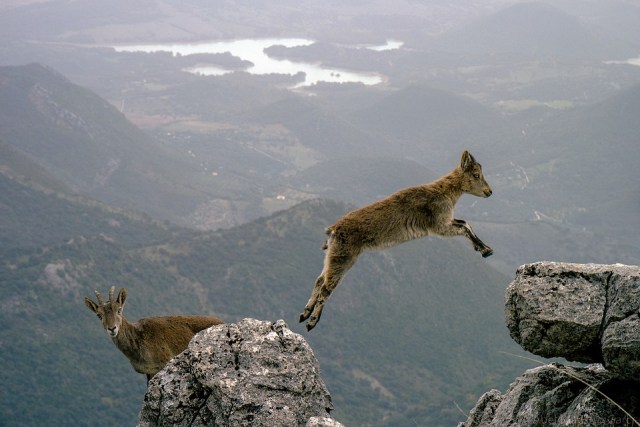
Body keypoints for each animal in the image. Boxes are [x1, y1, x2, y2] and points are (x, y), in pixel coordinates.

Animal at [84, 286, 224, 382]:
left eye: (119, 310)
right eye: (99, 315)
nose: (112, 328)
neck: (138, 338)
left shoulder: (163, 363)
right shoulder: (149, 371)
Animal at [299, 150, 493, 331]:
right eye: (476, 174)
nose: (489, 192)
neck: (445, 191)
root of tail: (333, 230)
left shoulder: (446, 222)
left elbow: (465, 223)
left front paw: (485, 249)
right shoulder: (439, 226)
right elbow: (463, 227)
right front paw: (485, 250)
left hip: (333, 255)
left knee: (319, 280)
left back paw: (304, 313)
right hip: (344, 257)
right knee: (326, 287)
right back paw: (311, 322)